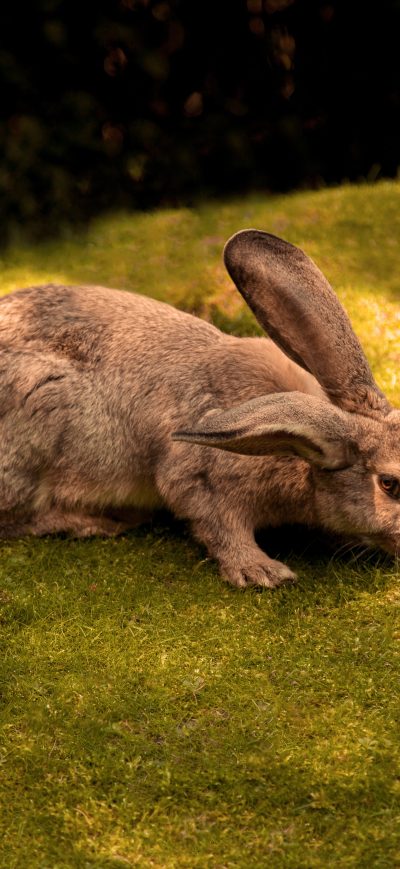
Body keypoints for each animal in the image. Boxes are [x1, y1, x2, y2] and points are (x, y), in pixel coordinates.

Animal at [0, 228, 399, 588]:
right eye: (389, 484)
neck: (297, 445)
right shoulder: (202, 479)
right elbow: (219, 527)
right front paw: (262, 572)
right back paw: (97, 522)